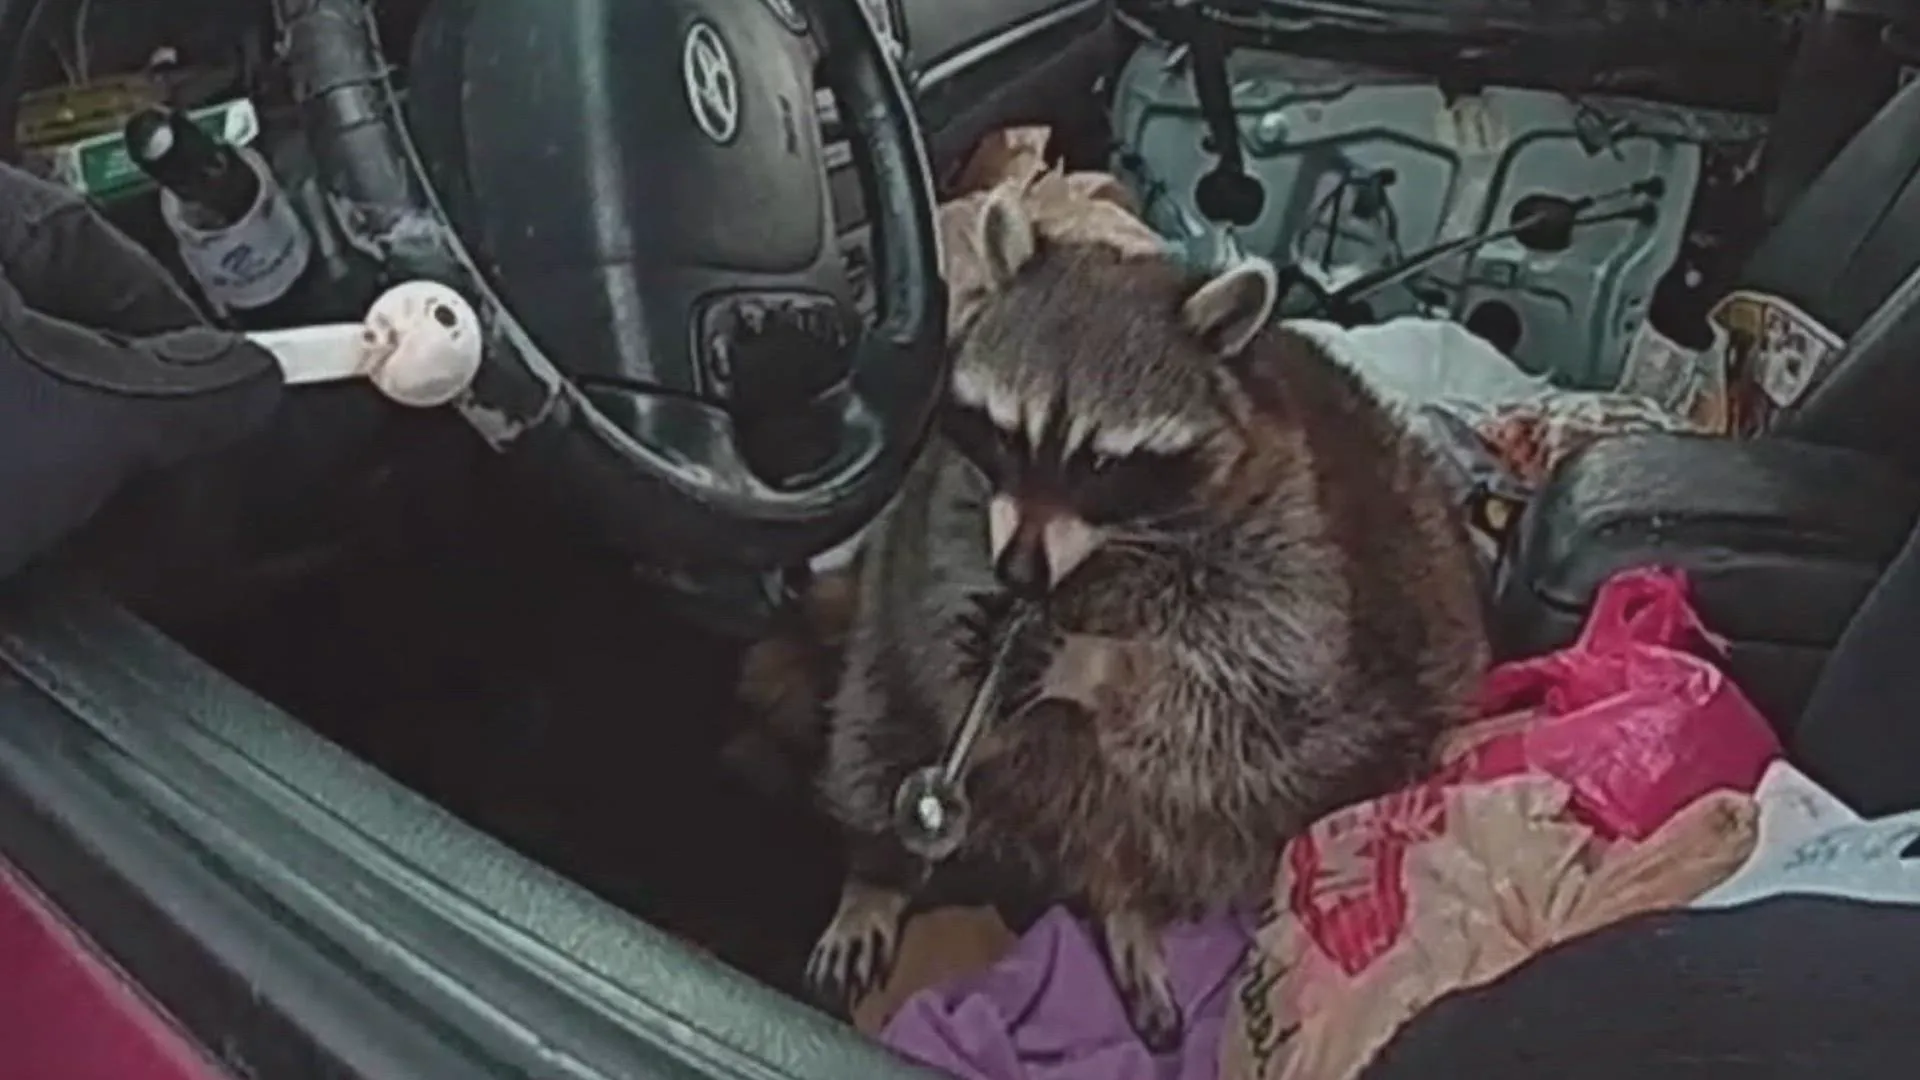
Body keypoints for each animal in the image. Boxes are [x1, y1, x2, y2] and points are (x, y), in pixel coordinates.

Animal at [805, 186, 1488, 1048]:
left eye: (1101, 462)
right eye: (1008, 433)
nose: (1019, 574)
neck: (1099, 557)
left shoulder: (1290, 533)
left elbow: (1256, 679)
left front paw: (1094, 664)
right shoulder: (949, 496)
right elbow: (938, 581)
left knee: (1209, 798)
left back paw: (1128, 902)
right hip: (884, 685)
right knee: (877, 719)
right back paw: (878, 873)